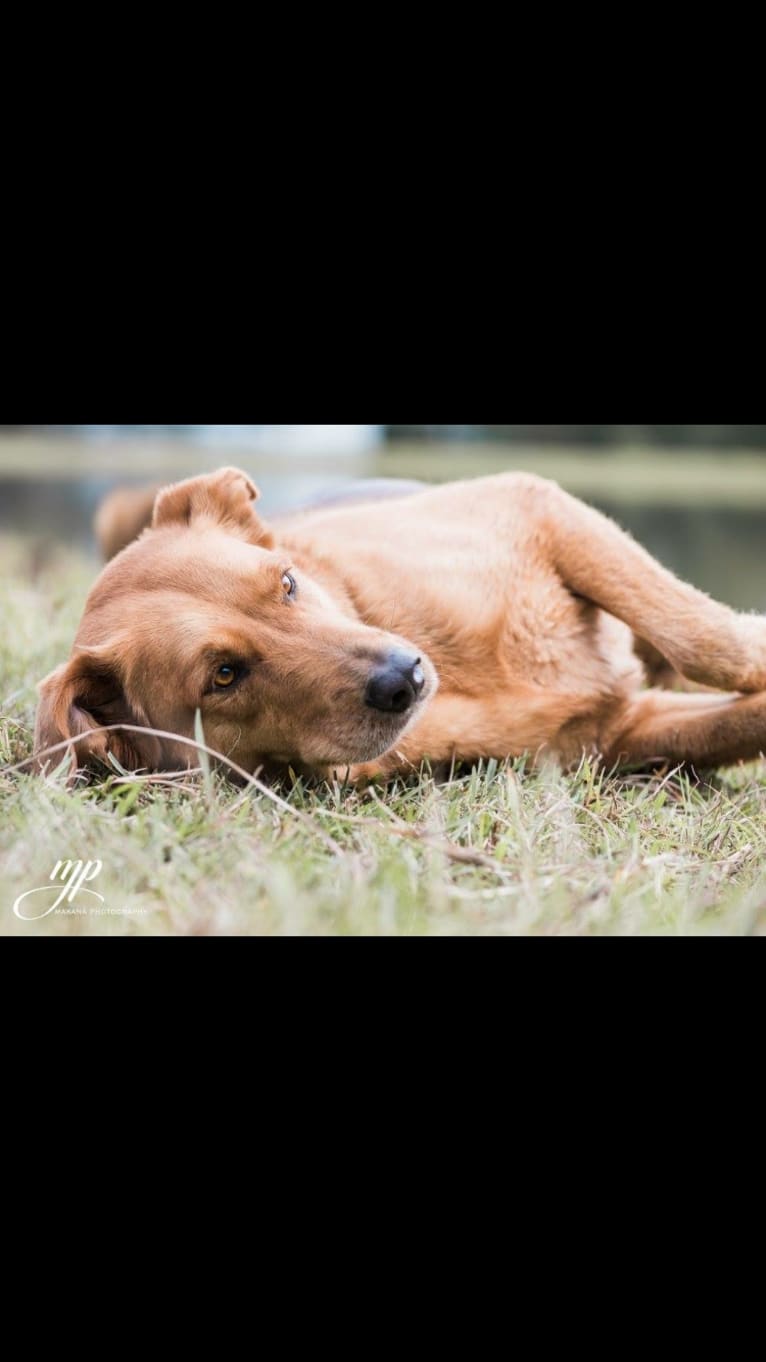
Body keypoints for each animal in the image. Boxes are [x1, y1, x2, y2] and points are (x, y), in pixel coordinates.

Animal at [32, 468, 763, 784]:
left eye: (288, 583)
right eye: (224, 676)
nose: (403, 679)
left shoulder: (537, 504)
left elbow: (702, 635)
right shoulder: (617, 734)